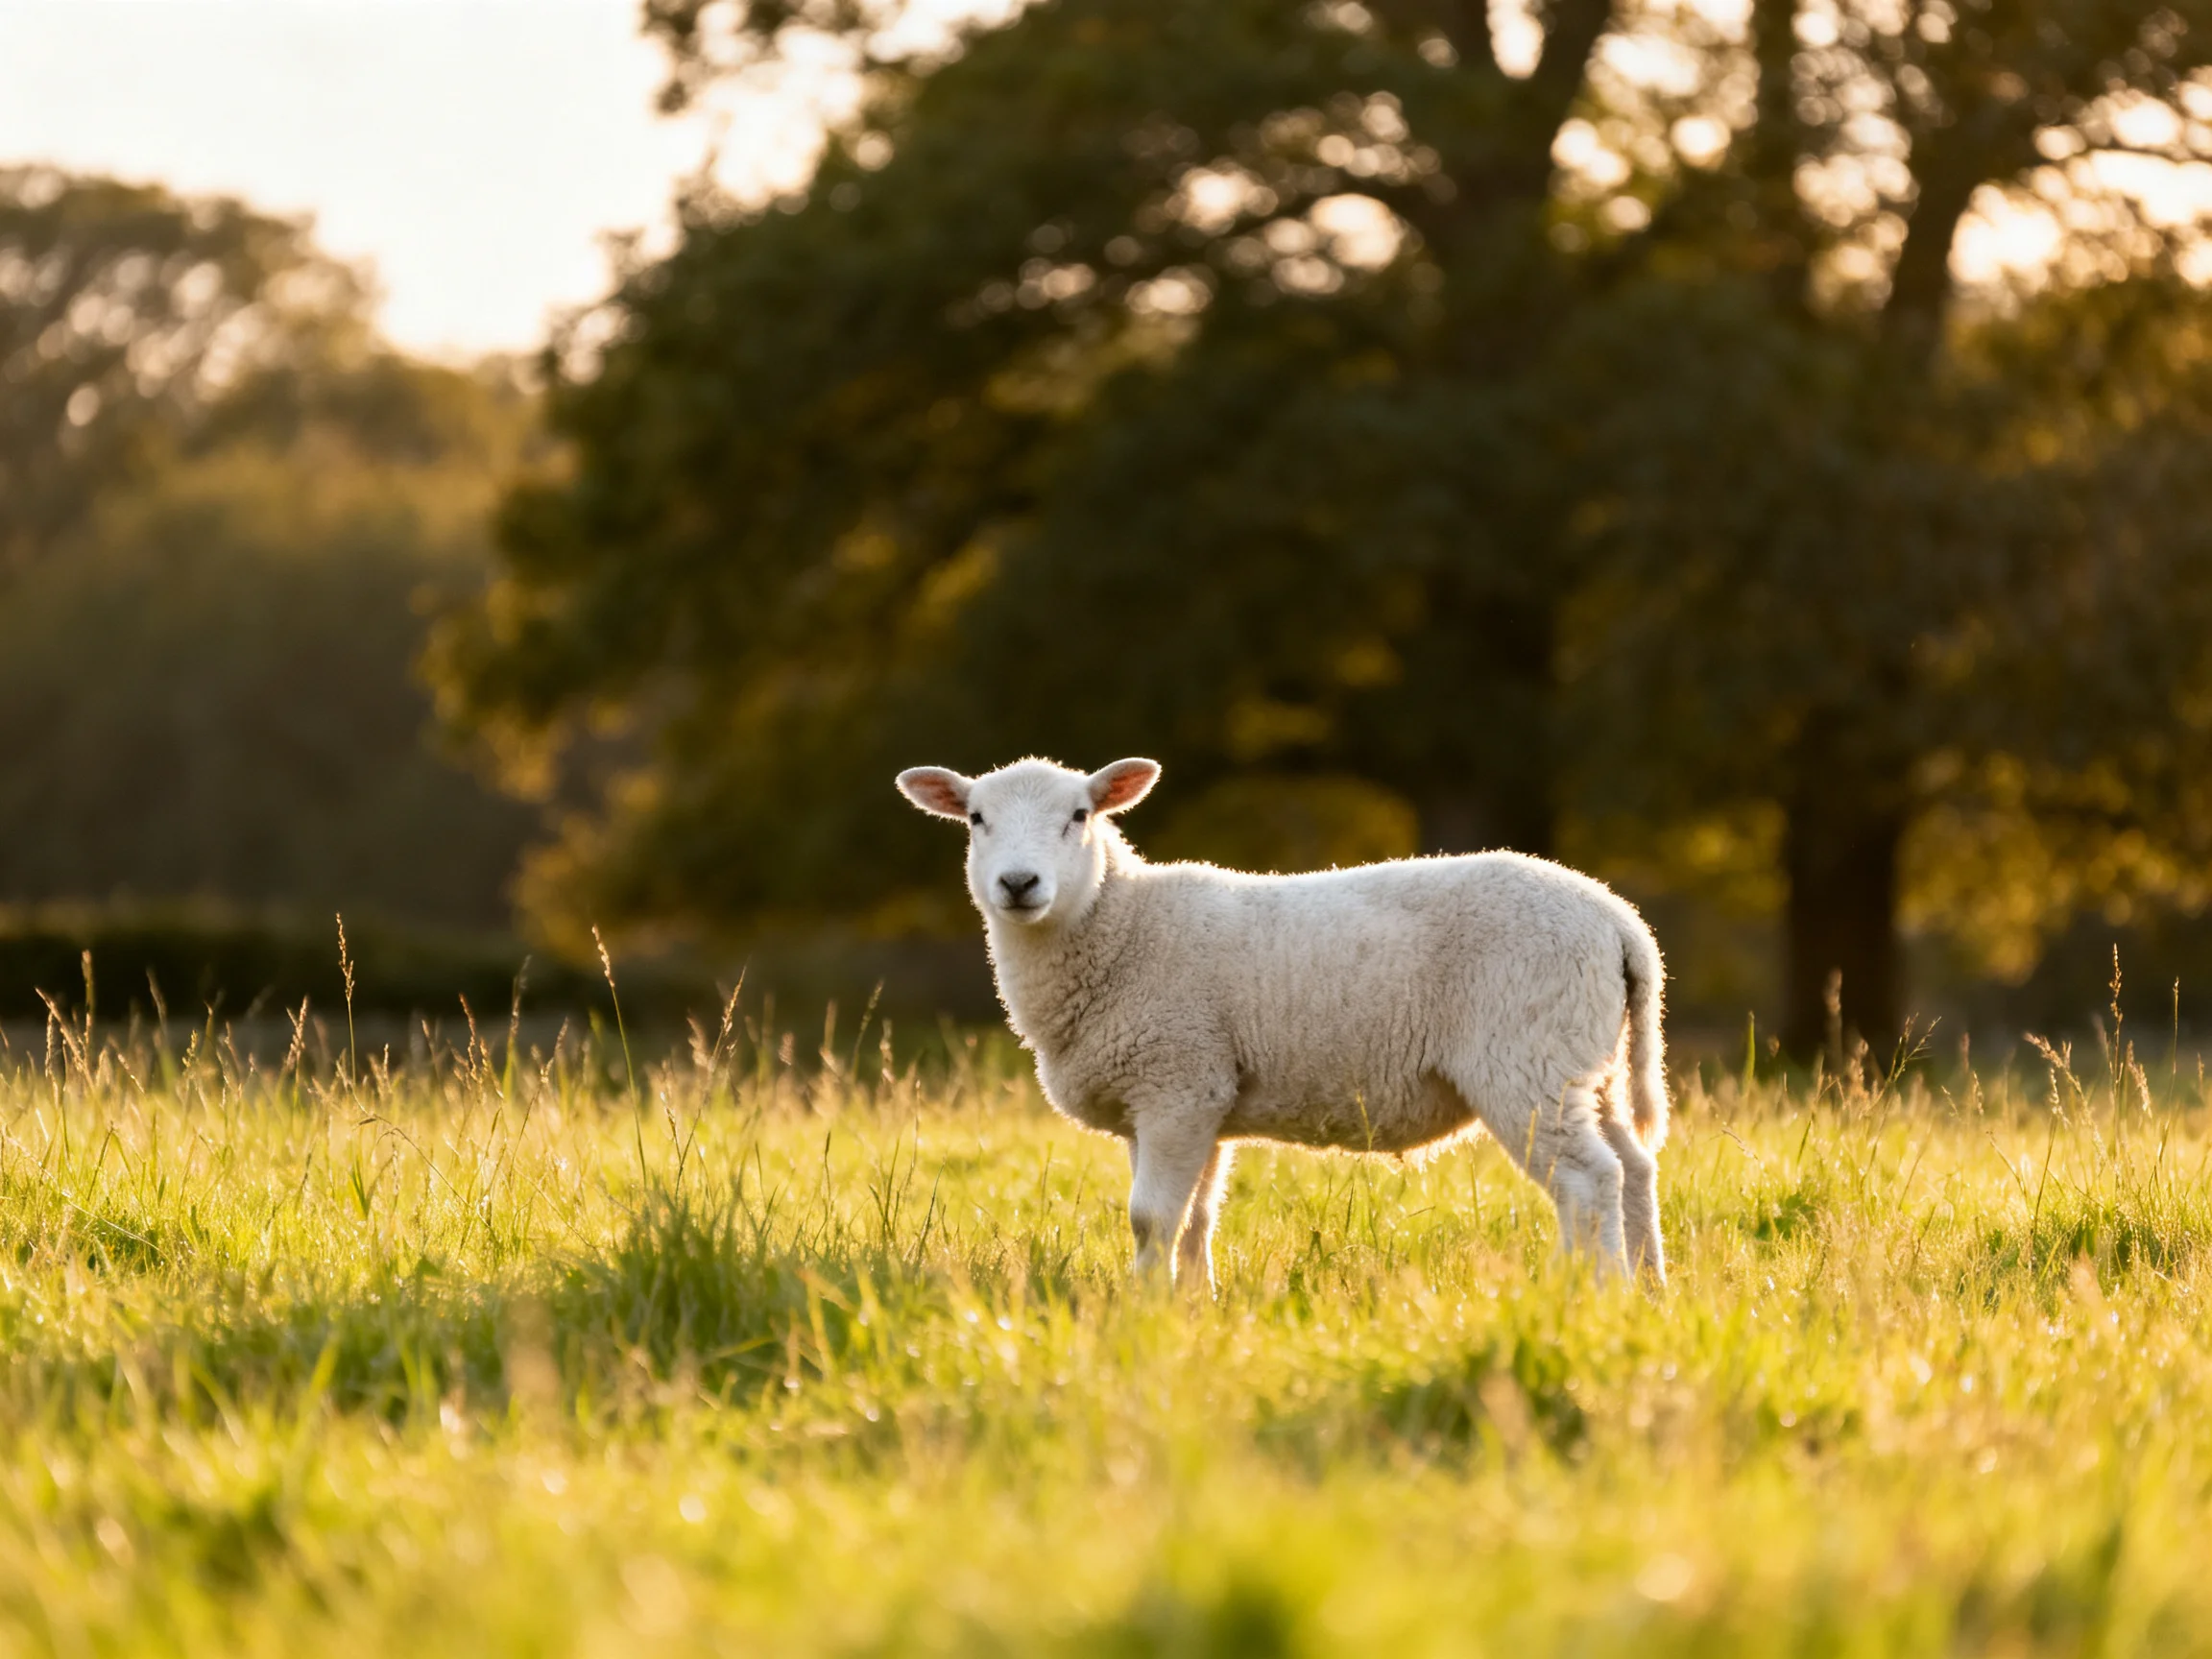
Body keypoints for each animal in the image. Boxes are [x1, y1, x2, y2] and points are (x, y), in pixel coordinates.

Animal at [895, 756, 1670, 1290]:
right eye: (976, 820)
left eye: (1080, 815)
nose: (1018, 884)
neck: (1122, 927)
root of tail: (1618, 921)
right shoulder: (1188, 1097)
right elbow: (1195, 1217)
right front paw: (1192, 1304)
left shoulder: (1176, 1081)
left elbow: (1150, 1217)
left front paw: (1143, 1310)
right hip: (1585, 1060)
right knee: (1632, 1168)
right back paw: (1649, 1290)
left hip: (1526, 1055)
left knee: (1587, 1180)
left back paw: (1593, 1291)